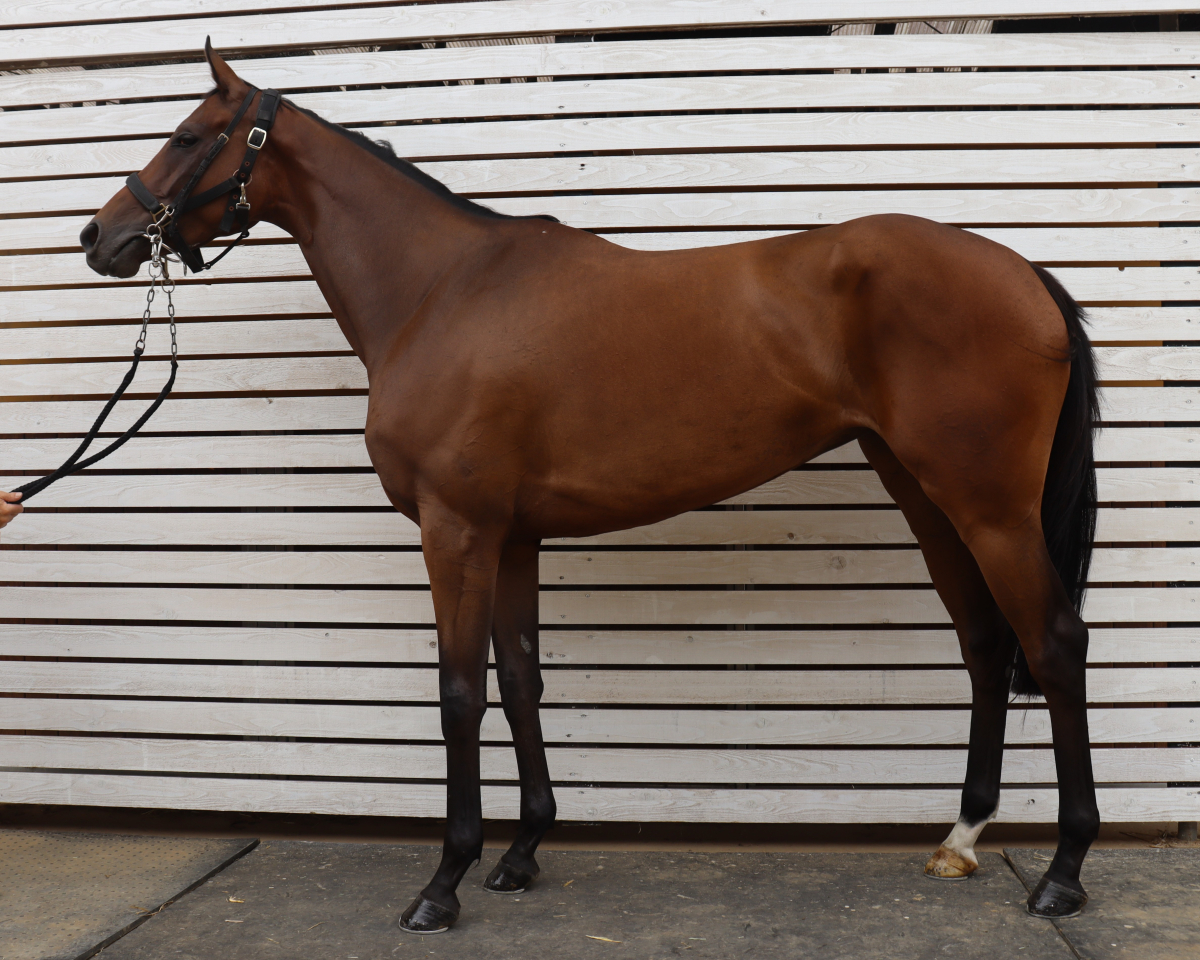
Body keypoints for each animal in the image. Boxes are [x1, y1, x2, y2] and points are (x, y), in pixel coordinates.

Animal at [80, 43, 1100, 933]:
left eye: (187, 136)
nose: (102, 235)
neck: (441, 293)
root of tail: (1023, 273)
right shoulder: (512, 535)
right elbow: (522, 678)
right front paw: (522, 852)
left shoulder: (456, 530)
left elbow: (460, 692)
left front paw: (443, 884)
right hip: (929, 496)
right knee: (984, 646)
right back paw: (960, 838)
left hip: (991, 509)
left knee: (1052, 643)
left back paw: (1062, 872)